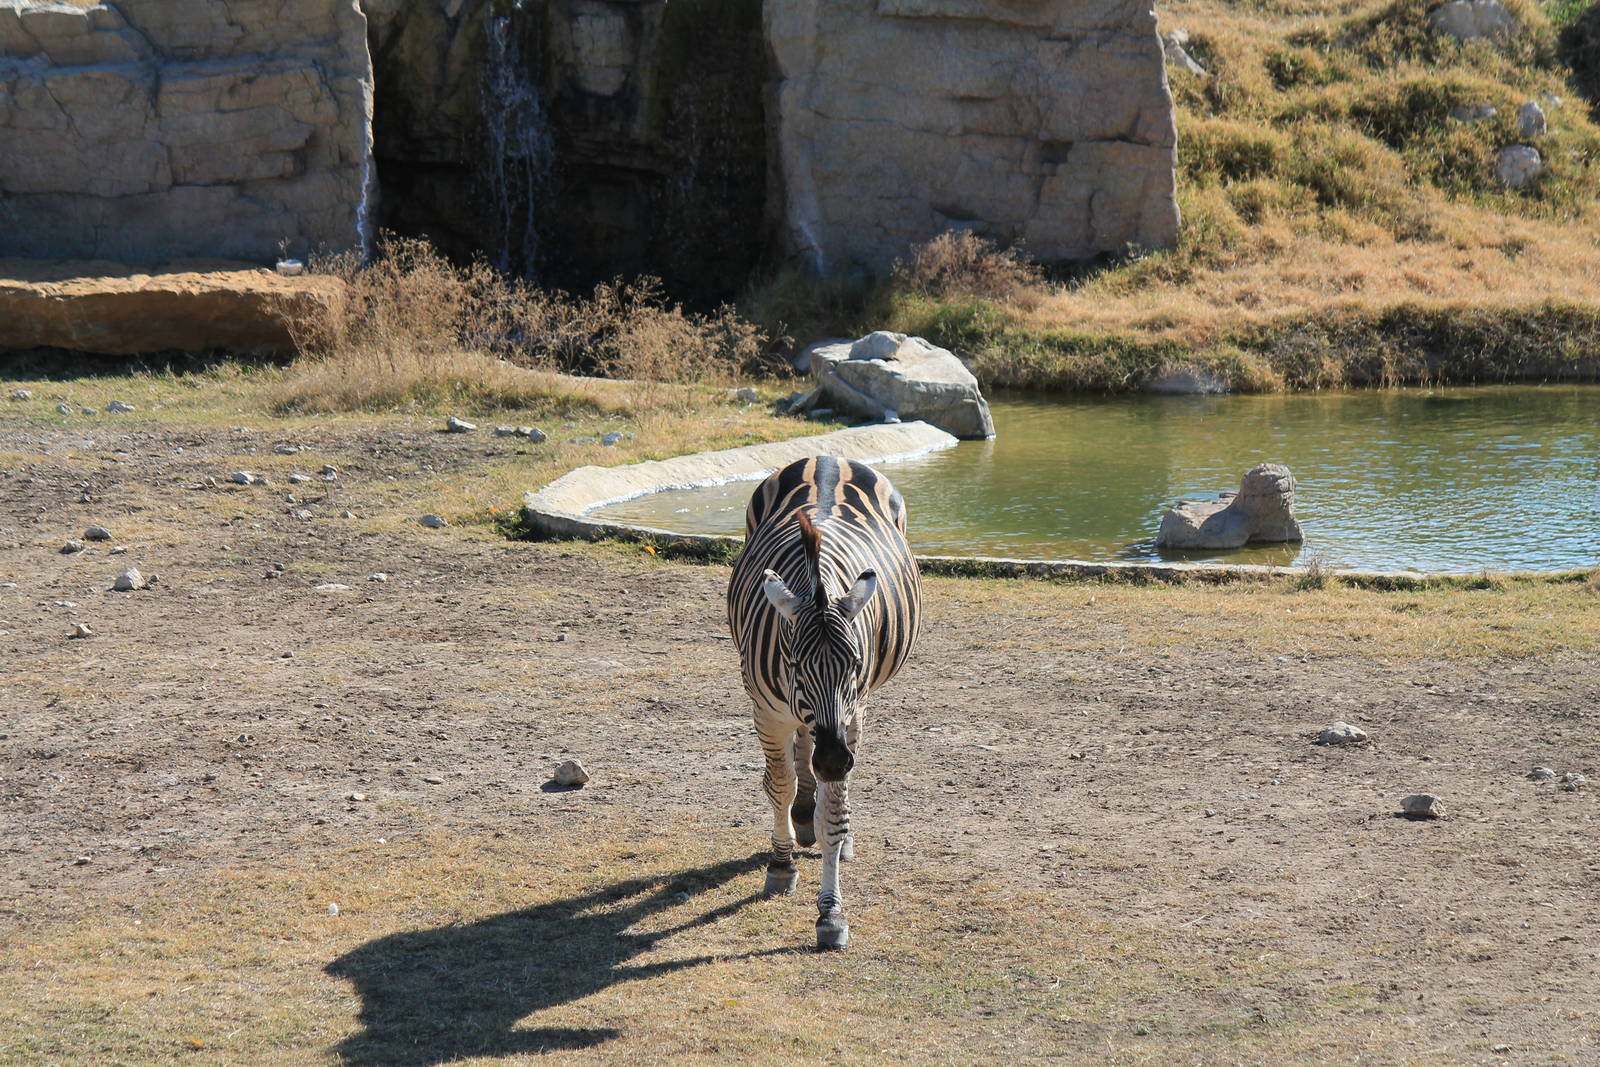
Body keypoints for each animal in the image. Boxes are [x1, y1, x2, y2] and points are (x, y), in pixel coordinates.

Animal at [727, 454, 923, 950]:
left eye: (854, 661)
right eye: (794, 662)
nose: (834, 761)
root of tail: (827, 457)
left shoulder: (850, 711)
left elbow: (833, 813)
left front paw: (831, 913)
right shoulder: (767, 712)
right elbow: (778, 785)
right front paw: (780, 866)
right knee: (801, 749)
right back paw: (801, 813)